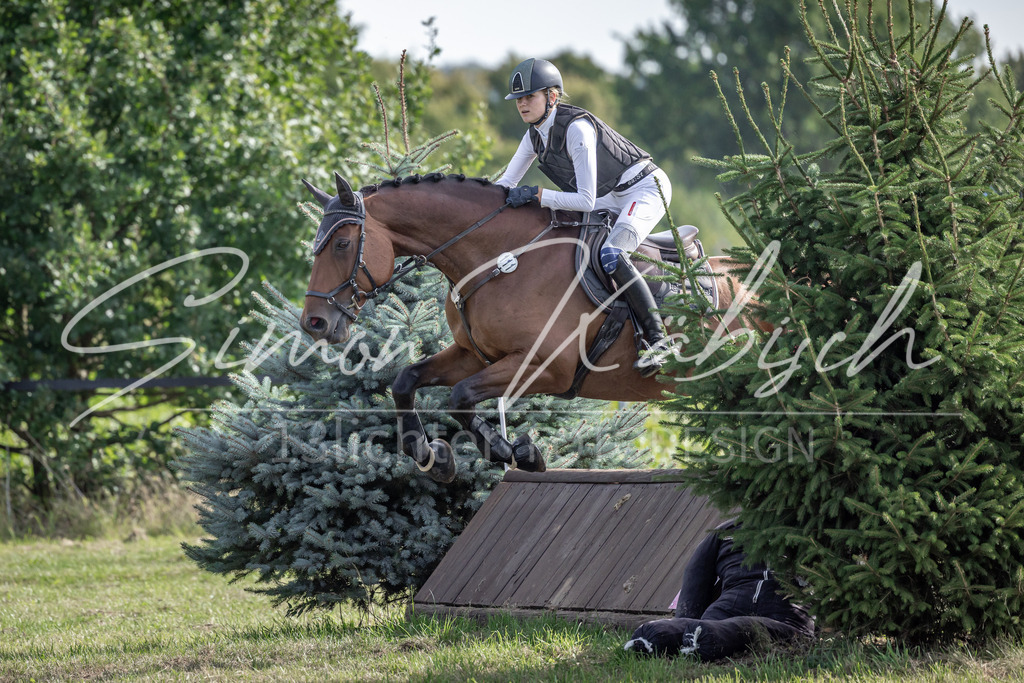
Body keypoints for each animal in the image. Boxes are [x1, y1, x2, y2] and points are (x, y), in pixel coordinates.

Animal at [299, 172, 765, 483]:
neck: (501, 258)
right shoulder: (474, 354)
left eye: (342, 244)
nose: (315, 323)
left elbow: (460, 397)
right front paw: (434, 457)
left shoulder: (547, 366)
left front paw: (519, 452)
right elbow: (405, 380)